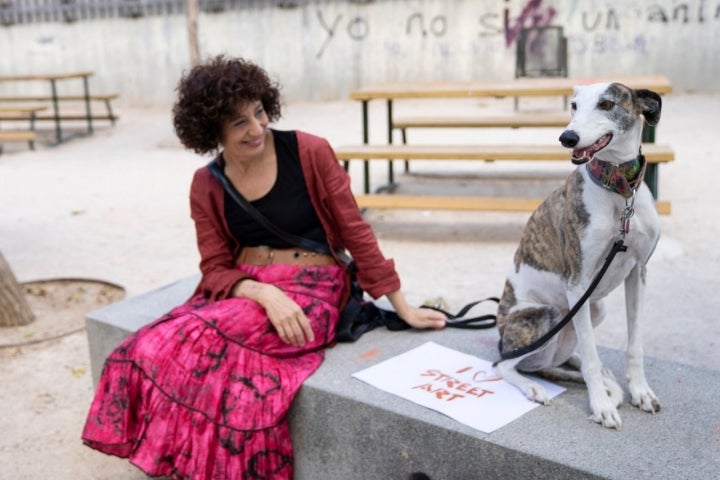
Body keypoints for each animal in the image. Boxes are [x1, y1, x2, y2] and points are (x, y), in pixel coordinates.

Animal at [496, 80, 664, 430]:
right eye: (574, 105)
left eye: (607, 104)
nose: (567, 137)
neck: (619, 193)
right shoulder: (578, 282)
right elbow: (590, 354)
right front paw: (601, 406)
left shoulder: (638, 272)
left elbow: (634, 344)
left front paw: (640, 392)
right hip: (544, 316)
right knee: (505, 364)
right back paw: (533, 387)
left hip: (595, 309)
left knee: (556, 360)